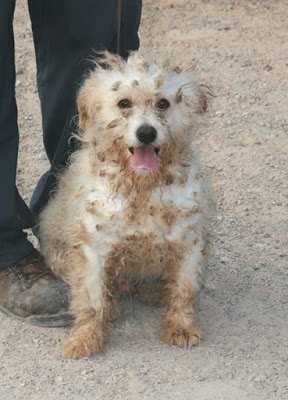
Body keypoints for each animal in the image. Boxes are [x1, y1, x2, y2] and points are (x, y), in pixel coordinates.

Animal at [38, 51, 212, 358]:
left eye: (163, 103)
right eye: (124, 103)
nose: (146, 133)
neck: (142, 189)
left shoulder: (189, 243)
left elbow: (183, 291)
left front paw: (180, 327)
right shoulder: (92, 249)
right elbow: (90, 300)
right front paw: (85, 337)